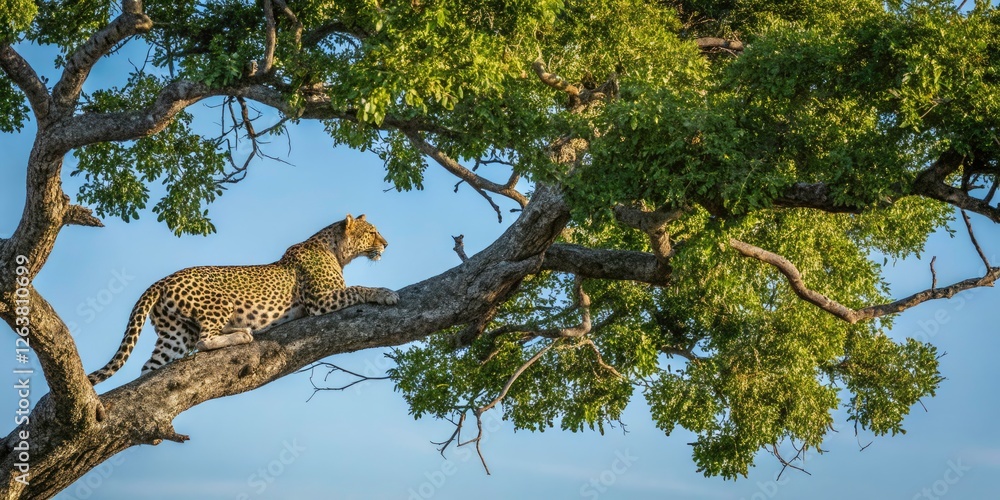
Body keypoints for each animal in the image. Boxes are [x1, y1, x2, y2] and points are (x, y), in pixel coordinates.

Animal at [88, 214, 398, 385]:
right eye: (372, 232)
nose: (386, 244)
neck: (336, 250)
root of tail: (161, 281)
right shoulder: (321, 301)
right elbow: (359, 288)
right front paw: (386, 294)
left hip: (174, 335)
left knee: (148, 370)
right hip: (219, 304)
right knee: (204, 341)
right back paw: (242, 334)